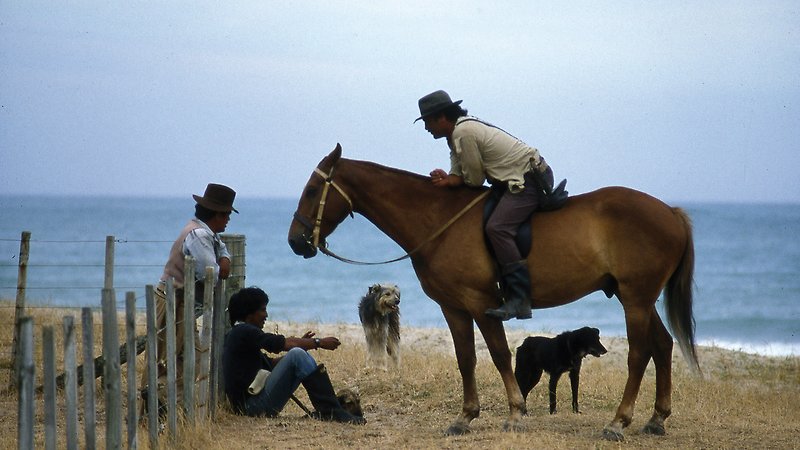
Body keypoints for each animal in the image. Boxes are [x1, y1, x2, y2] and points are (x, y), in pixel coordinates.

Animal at [290, 144, 700, 440]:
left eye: (311, 190)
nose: (296, 241)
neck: (439, 219)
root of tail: (670, 212)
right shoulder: (454, 308)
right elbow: (466, 359)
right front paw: (465, 417)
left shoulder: (480, 304)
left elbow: (501, 355)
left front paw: (516, 414)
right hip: (639, 299)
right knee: (663, 346)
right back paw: (656, 419)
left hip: (636, 300)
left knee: (639, 355)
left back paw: (618, 422)